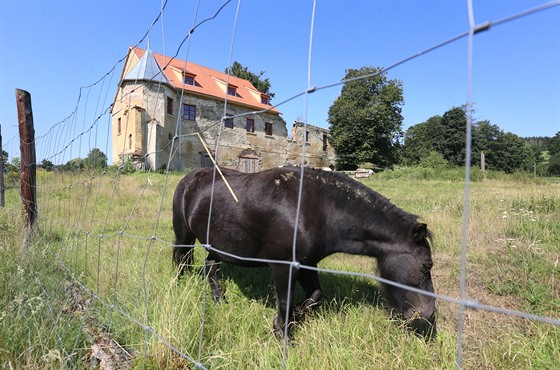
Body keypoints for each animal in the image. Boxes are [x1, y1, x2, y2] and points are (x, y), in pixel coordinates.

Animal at [173, 168, 436, 338]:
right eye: (426, 266)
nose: (428, 315)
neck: (321, 210)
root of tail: (188, 179)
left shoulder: (308, 264)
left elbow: (316, 295)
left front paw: (297, 316)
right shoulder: (283, 267)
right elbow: (285, 301)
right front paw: (282, 332)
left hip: (217, 245)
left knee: (211, 267)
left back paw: (219, 299)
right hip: (184, 235)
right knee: (181, 260)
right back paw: (177, 287)